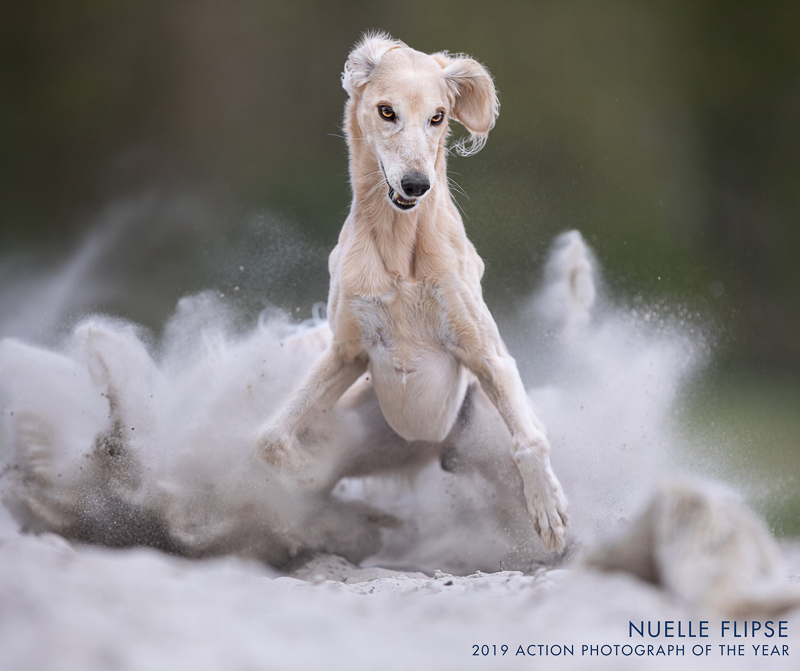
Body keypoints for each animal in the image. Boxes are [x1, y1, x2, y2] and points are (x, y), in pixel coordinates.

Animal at [256, 32, 568, 552]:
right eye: (386, 111)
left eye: (439, 116)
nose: (416, 185)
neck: (400, 246)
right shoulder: (347, 353)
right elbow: (269, 442)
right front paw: (304, 484)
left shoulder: (487, 355)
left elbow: (530, 439)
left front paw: (547, 508)